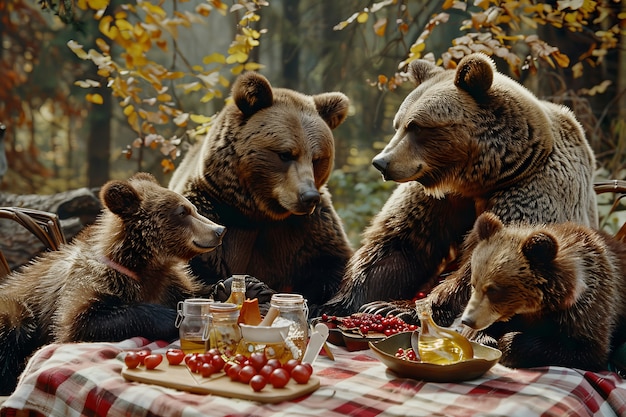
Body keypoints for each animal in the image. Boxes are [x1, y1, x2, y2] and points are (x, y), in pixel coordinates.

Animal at [0, 172, 224, 394]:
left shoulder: (170, 283)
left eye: (193, 208)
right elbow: (83, 320)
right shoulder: (90, 284)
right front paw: (173, 318)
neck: (141, 264)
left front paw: (222, 289)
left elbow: (195, 292)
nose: (219, 230)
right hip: (16, 305)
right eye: (182, 211)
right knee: (14, 323)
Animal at [168, 71, 354, 312]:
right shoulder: (209, 212)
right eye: (285, 154)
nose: (309, 197)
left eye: (317, 158)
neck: (257, 212)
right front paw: (242, 285)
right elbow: (196, 266)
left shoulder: (307, 228)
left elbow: (330, 264)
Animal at [322, 52, 596, 322]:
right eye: (398, 124)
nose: (381, 162)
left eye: (416, 126)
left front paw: (397, 307)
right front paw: (341, 304)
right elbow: (399, 243)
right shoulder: (436, 198)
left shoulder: (529, 192)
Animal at [456, 213, 624, 368]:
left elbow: (587, 349)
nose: (467, 320)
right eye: (474, 284)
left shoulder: (586, 309)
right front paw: (487, 340)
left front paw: (507, 343)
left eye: (493, 290)